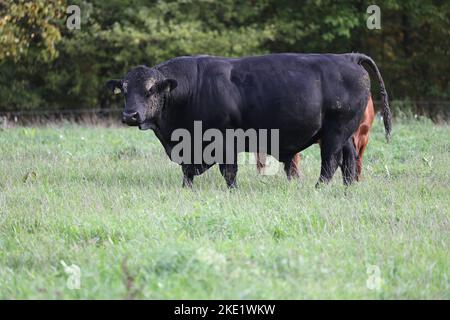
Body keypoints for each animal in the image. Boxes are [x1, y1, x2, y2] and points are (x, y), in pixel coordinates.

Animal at [106, 52, 390, 188]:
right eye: (125, 90)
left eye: (150, 90)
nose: (130, 115)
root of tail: (347, 57)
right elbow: (187, 171)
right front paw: (186, 189)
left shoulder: (224, 140)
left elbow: (228, 170)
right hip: (344, 134)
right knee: (350, 161)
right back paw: (347, 188)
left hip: (334, 132)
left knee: (331, 163)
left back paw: (319, 188)